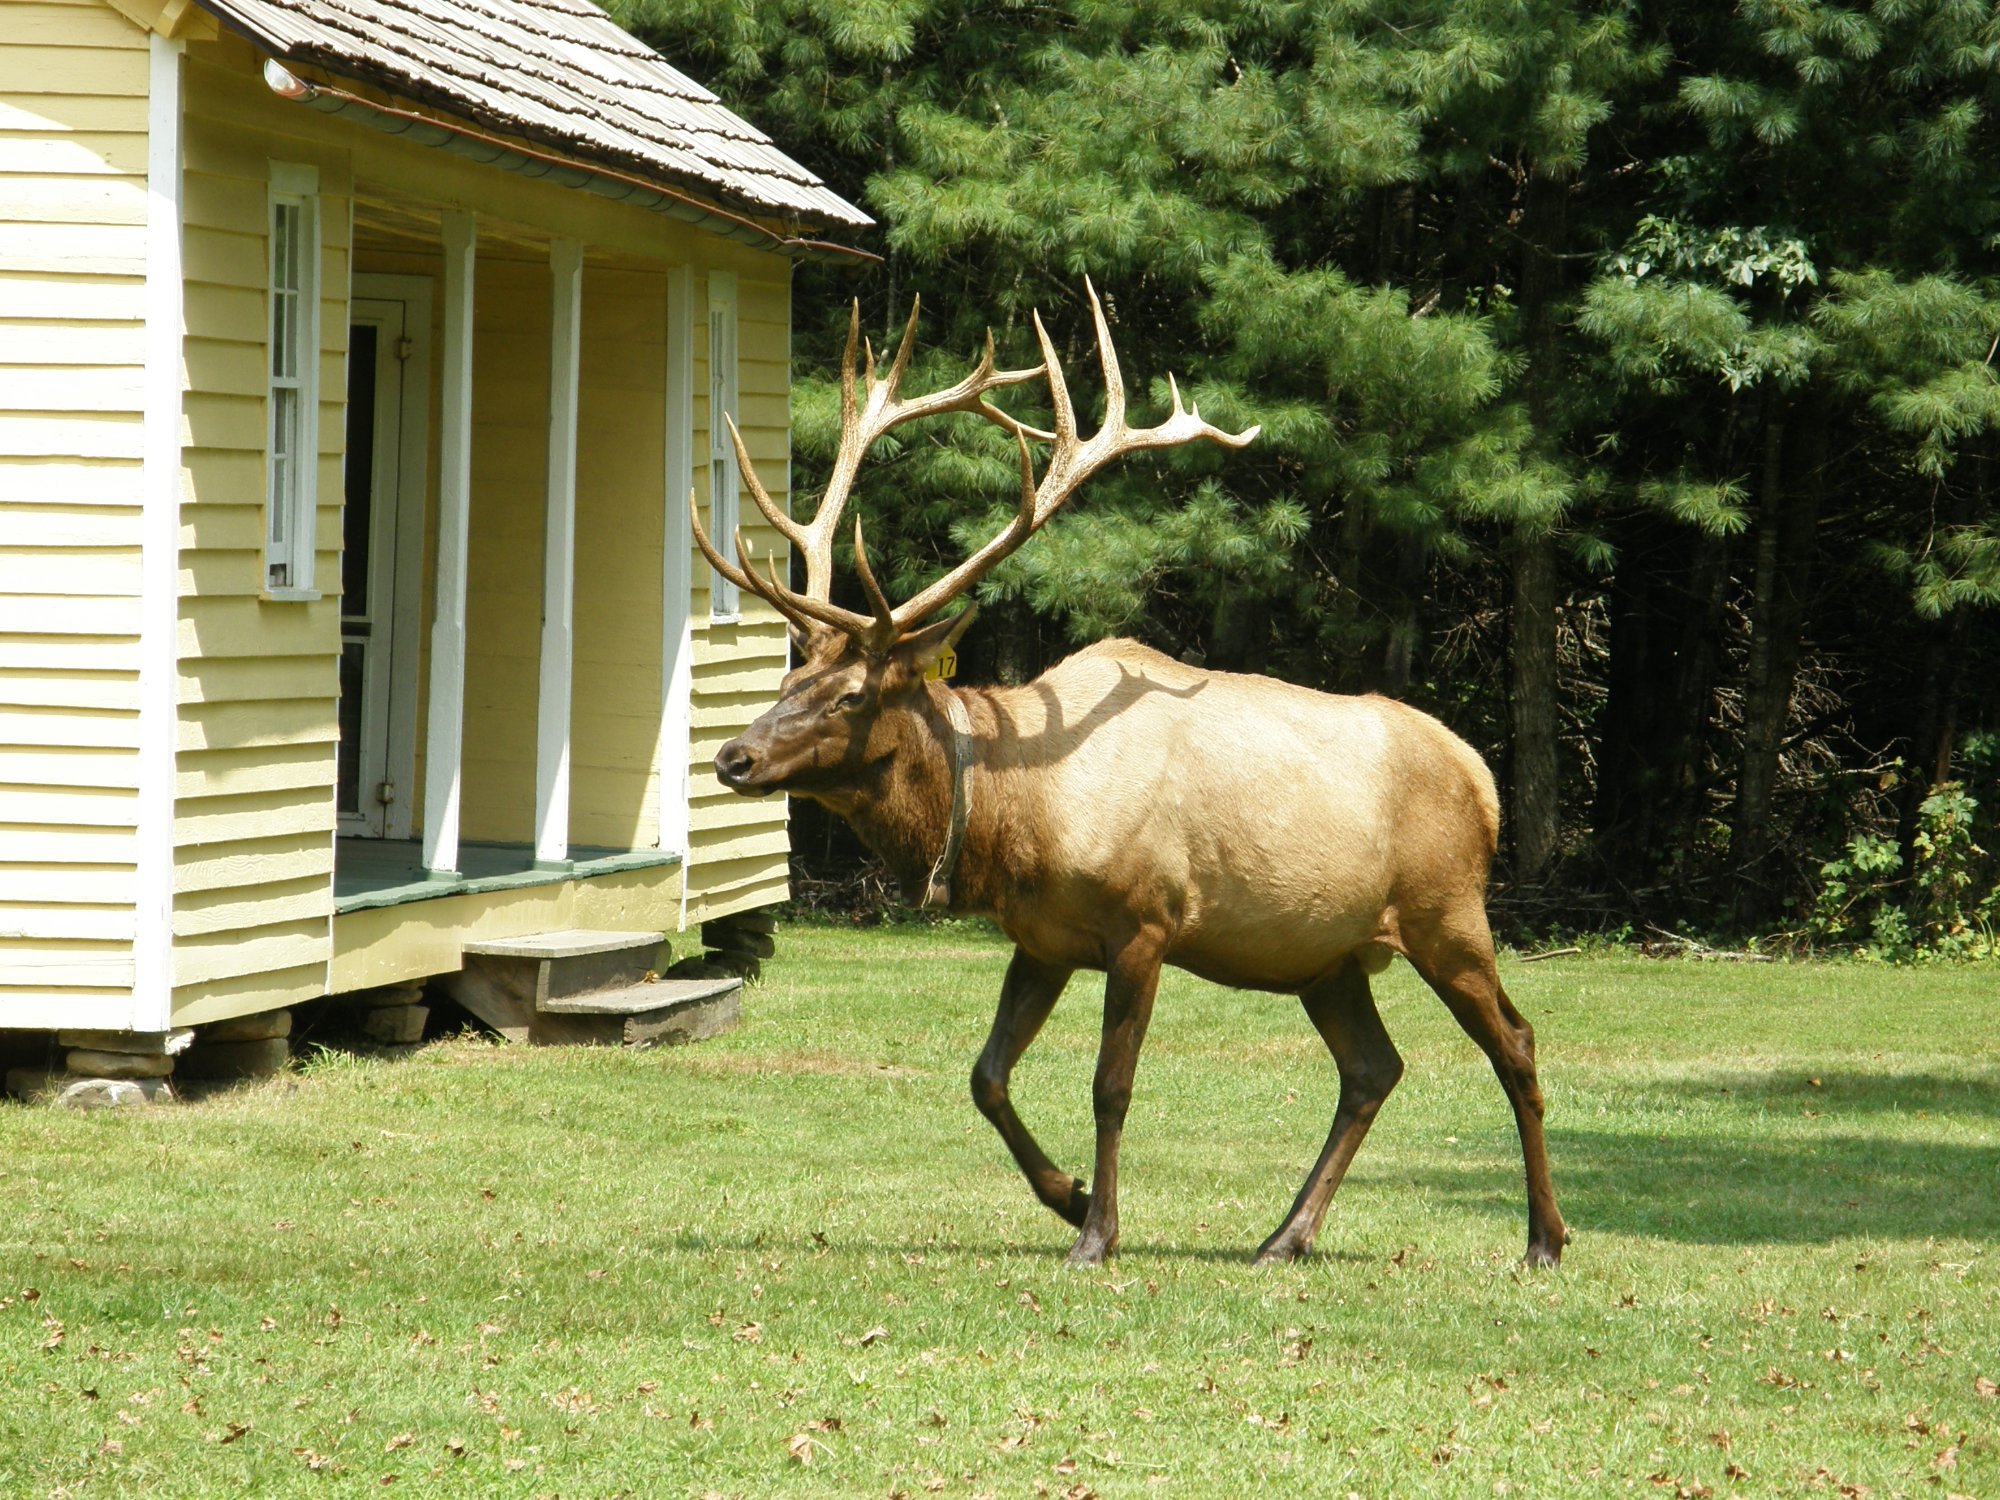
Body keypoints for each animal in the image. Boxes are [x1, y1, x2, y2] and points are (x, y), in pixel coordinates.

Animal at [693, 283, 1568, 1269]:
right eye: (787, 681)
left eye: (849, 694)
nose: (732, 756)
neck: (1014, 817)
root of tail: (1483, 779)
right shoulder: (1040, 939)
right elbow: (986, 1076)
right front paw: (1068, 1196)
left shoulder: (1145, 921)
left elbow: (1110, 1086)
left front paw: (1097, 1233)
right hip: (1328, 953)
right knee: (1373, 1068)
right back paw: (1284, 1236)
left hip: (1446, 913)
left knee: (1517, 1043)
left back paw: (1544, 1238)